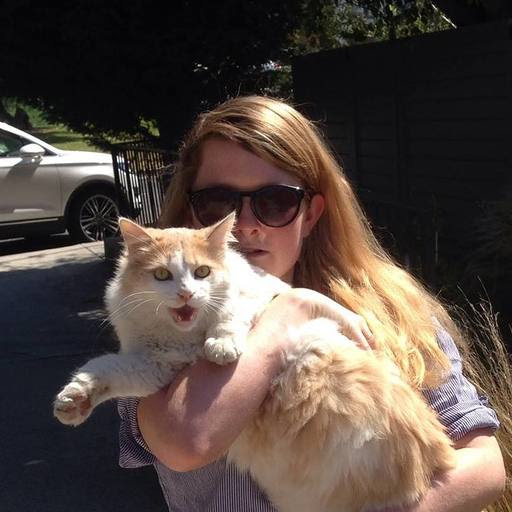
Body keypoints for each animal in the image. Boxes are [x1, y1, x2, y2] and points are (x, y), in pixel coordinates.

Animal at [54, 213, 454, 512]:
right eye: (162, 275)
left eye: (202, 273)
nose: (186, 294)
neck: (185, 339)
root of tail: (437, 459)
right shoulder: (154, 365)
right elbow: (105, 369)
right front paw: (73, 402)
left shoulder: (264, 297)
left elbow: (231, 312)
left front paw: (222, 346)